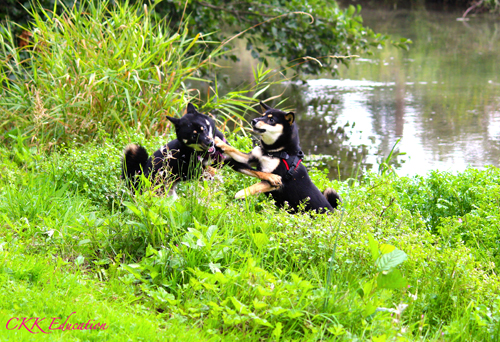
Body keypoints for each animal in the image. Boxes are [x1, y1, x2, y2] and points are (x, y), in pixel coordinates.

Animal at [119, 103, 280, 196]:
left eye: (204, 128)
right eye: (193, 135)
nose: (210, 143)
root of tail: (136, 177)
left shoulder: (232, 161)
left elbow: (254, 171)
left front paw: (272, 177)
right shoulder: (191, 170)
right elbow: (208, 170)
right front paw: (213, 172)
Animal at [213, 102, 342, 214]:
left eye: (271, 120)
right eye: (262, 115)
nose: (254, 120)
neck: (274, 152)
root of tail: (334, 213)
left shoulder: (278, 182)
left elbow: (255, 187)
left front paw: (241, 193)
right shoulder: (250, 158)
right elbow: (233, 150)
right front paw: (219, 141)